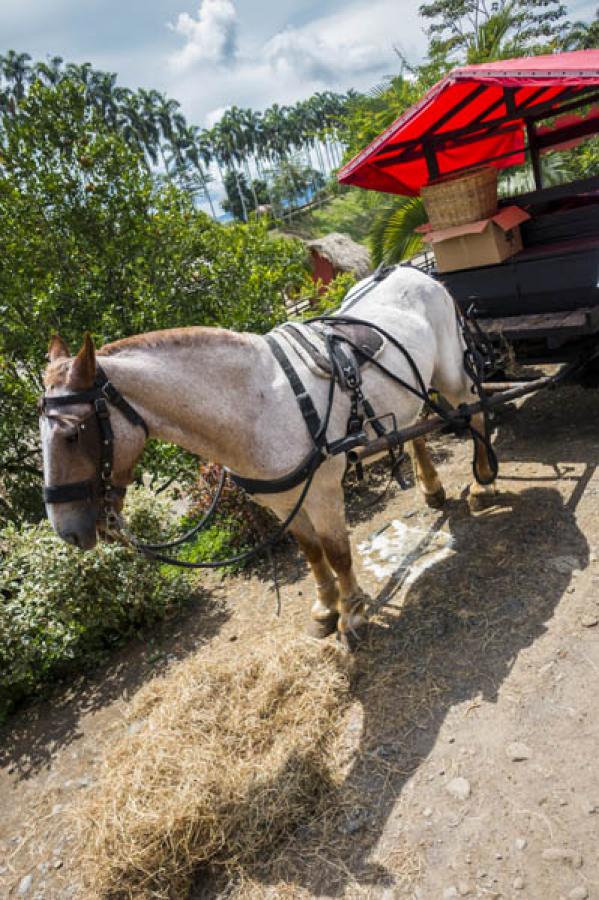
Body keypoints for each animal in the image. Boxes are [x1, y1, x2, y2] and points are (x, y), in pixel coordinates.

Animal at [38, 268, 496, 640]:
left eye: (73, 433)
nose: (67, 531)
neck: (254, 403)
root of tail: (412, 271)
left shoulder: (323, 491)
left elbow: (337, 551)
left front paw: (352, 612)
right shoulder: (279, 500)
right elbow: (311, 552)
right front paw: (325, 608)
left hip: (452, 374)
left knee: (472, 410)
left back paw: (483, 483)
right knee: (419, 422)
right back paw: (432, 488)